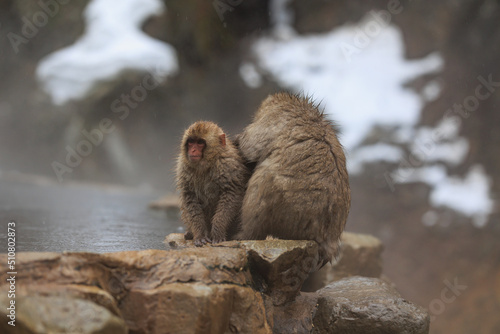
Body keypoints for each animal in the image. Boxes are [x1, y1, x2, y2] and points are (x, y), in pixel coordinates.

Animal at [235, 92, 350, 268]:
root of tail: (325, 240)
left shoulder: (271, 120)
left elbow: (250, 146)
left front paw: (238, 140)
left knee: (262, 180)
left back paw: (243, 234)